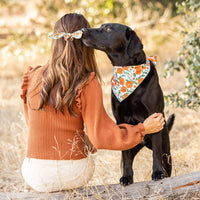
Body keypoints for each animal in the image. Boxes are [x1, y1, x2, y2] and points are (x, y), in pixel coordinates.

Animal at [82, 23, 174, 186]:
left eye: (108, 29)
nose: (83, 30)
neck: (126, 69)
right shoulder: (121, 120)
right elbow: (126, 157)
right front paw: (127, 177)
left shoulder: (154, 116)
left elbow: (156, 152)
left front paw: (157, 173)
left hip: (167, 150)